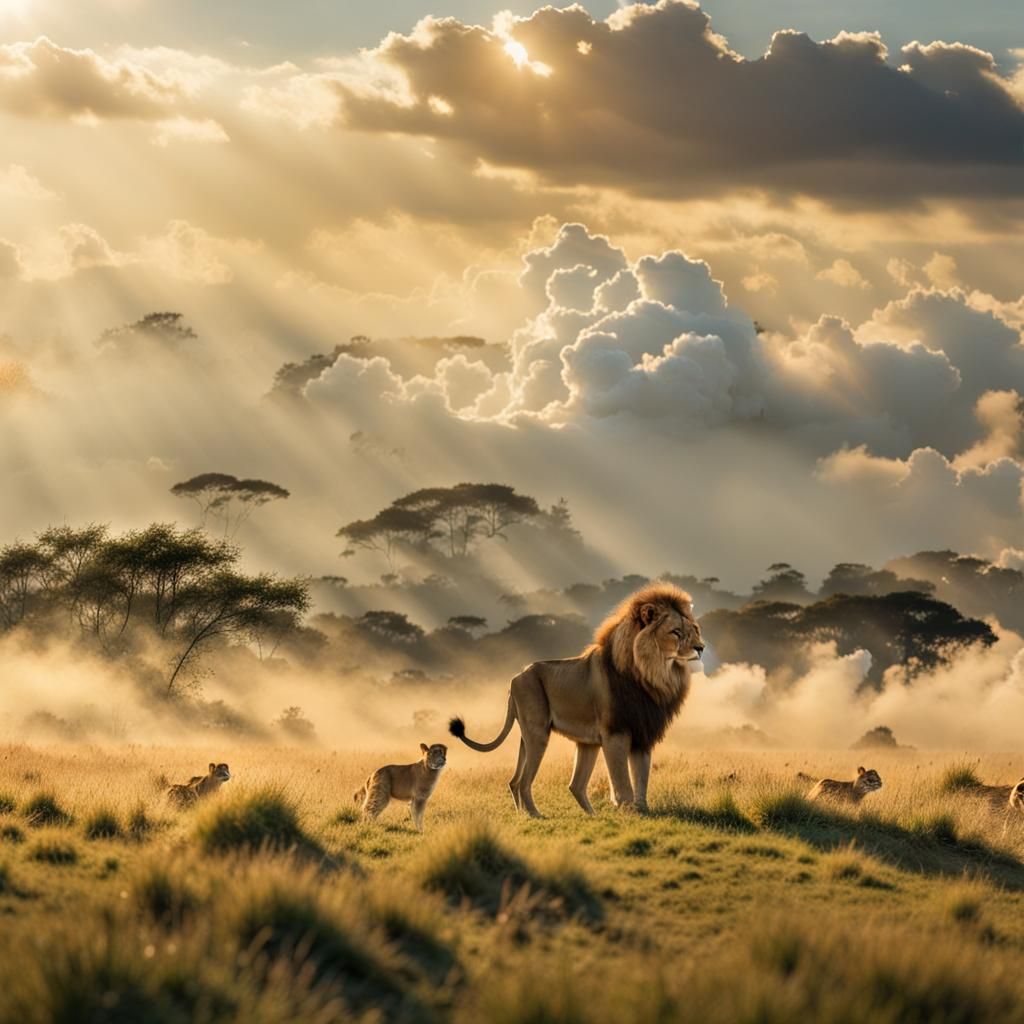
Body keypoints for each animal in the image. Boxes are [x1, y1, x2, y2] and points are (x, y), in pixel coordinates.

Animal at [449, 583, 703, 817]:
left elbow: (641, 777)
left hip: (560, 740)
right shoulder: (615, 733)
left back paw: (574, 816)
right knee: (524, 782)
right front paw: (629, 811)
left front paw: (642, 810)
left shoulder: (643, 733)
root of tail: (516, 677)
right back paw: (535, 815)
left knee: (561, 784)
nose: (701, 648)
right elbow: (622, 781)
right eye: (676, 632)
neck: (652, 674)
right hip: (538, 734)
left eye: (695, 630)